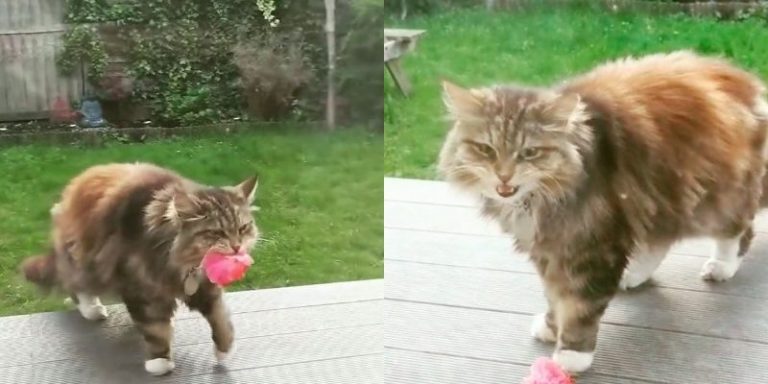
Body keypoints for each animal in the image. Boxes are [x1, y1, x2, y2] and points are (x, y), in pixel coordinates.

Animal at [20, 162, 260, 376]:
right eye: (217, 233)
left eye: (243, 228)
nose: (237, 246)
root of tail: (77, 182)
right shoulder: (139, 286)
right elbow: (155, 328)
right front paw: (159, 361)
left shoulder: (205, 288)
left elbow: (220, 318)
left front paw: (223, 350)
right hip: (86, 262)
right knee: (75, 284)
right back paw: (92, 309)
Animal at [438, 50, 768, 372]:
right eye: (486, 150)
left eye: (530, 152)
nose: (504, 177)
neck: (539, 201)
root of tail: (747, 83)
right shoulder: (549, 249)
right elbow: (554, 296)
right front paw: (551, 327)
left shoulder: (596, 245)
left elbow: (579, 307)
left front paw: (572, 354)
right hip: (660, 199)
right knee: (661, 241)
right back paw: (634, 275)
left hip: (708, 201)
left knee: (739, 229)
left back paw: (721, 266)